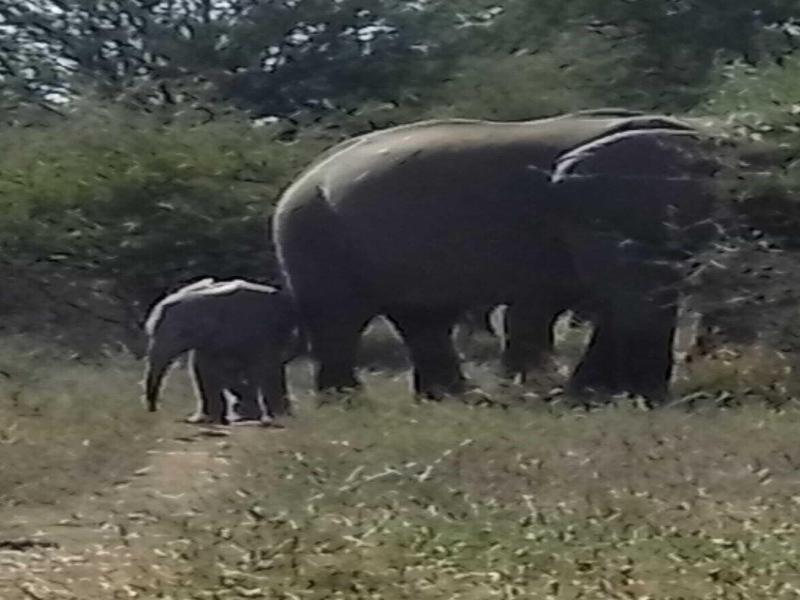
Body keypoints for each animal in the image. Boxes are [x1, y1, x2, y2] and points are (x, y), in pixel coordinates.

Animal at [143, 278, 298, 424]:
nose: (153, 411)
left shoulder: (250, 330)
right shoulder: (209, 342)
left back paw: (274, 415)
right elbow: (204, 370)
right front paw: (208, 419)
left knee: (265, 369)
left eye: (178, 334)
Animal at [272, 110, 720, 403]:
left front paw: (591, 395)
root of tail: (303, 175)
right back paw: (348, 402)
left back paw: (452, 398)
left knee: (422, 319)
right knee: (339, 319)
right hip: (313, 233)